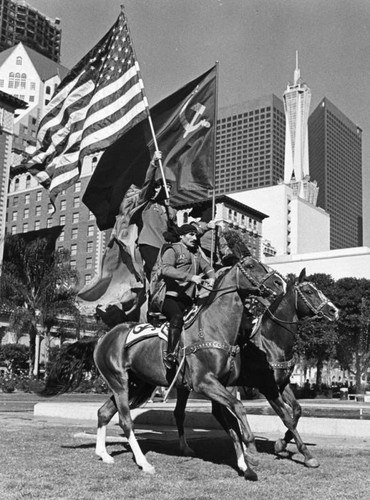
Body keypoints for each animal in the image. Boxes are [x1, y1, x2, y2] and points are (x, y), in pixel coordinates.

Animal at [43, 258, 284, 480]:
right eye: (251, 265)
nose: (279, 282)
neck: (213, 327)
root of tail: (102, 338)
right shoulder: (205, 383)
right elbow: (239, 408)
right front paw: (251, 451)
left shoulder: (220, 387)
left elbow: (232, 424)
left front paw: (246, 467)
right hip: (119, 382)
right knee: (125, 420)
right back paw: (144, 463)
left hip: (136, 385)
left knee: (104, 412)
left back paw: (103, 454)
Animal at [173, 268, 338, 470]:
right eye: (308, 291)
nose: (333, 310)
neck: (271, 342)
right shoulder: (267, 387)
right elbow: (286, 416)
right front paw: (306, 454)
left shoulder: (282, 385)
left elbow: (297, 411)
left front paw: (281, 443)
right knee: (181, 413)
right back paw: (187, 447)